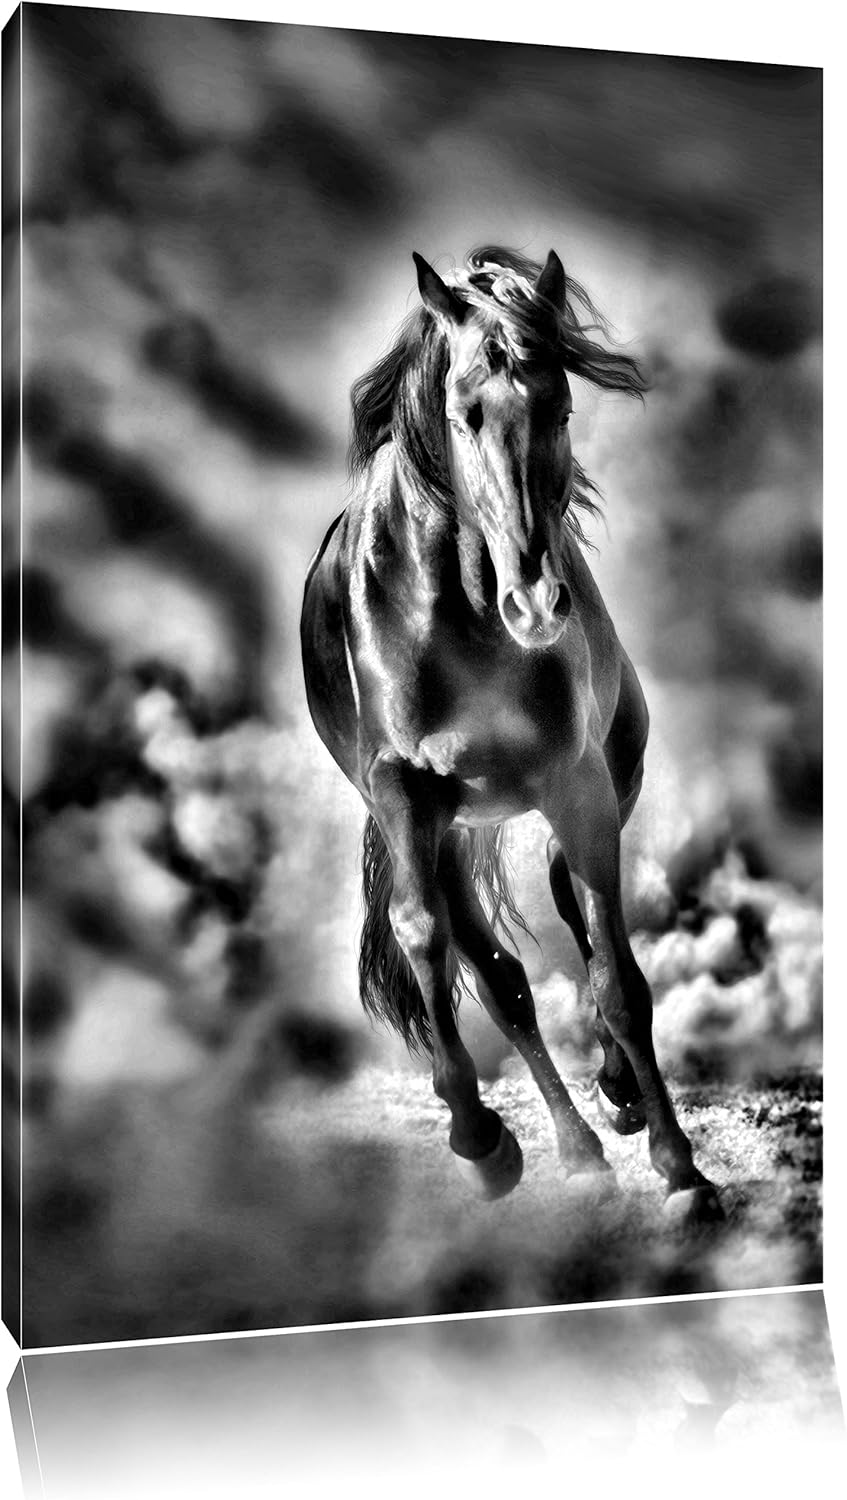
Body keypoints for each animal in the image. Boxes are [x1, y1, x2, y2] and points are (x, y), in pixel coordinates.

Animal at [301, 245, 722, 1223]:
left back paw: (617, 1103)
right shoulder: (404, 797)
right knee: (500, 981)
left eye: (560, 408)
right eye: (465, 412)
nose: (534, 603)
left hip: (592, 791)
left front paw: (682, 1170)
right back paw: (571, 1152)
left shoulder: (579, 788)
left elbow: (618, 980)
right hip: (449, 834)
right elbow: (427, 939)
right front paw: (477, 1138)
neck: (459, 617)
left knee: (574, 916)